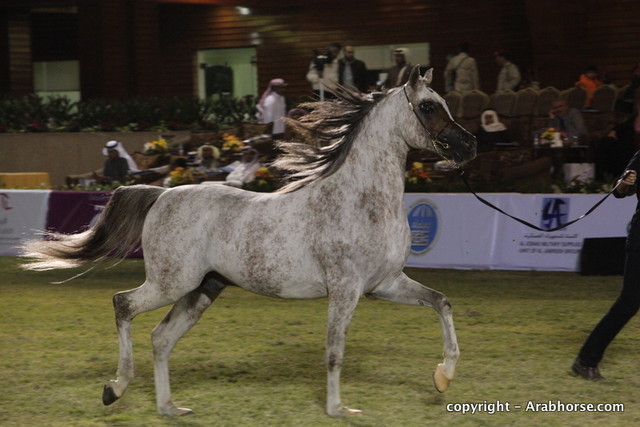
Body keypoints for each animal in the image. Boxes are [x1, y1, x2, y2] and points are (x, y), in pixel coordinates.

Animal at [21, 65, 476, 417]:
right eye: (429, 106)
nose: (469, 145)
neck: (361, 201)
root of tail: (162, 194)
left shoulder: (383, 285)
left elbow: (442, 302)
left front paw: (443, 378)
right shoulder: (345, 289)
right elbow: (334, 350)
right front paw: (339, 409)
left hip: (204, 288)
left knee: (161, 338)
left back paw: (170, 408)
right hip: (172, 282)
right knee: (123, 305)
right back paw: (115, 388)